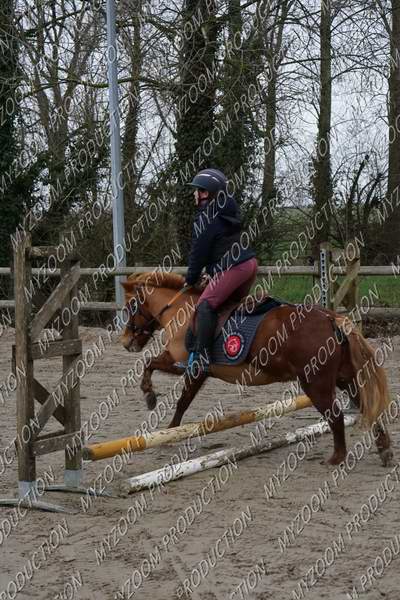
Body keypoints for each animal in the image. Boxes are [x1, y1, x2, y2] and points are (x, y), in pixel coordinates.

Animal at [120, 271, 393, 466]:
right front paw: (167, 425)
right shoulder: (192, 368)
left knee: (335, 415)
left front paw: (158, 411)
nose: (125, 342)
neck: (180, 311)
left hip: (316, 384)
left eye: (130, 307)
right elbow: (166, 381)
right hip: (345, 379)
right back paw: (384, 449)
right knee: (367, 406)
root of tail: (331, 319)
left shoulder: (191, 366)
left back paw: (337, 457)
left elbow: (174, 392)